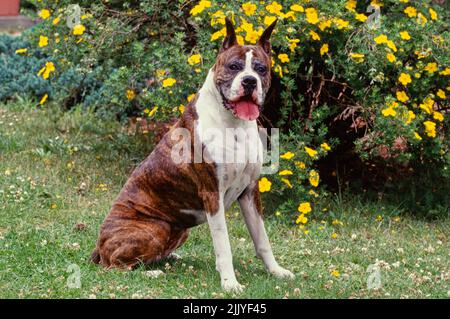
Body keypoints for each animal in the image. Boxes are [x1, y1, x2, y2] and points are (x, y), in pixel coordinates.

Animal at [91, 17, 296, 292]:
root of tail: (99, 245)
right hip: (153, 229)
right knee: (114, 266)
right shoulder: (212, 195)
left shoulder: (250, 192)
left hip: (179, 230)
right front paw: (230, 283)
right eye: (234, 66)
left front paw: (276, 271)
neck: (234, 124)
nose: (249, 81)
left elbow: (262, 239)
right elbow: (224, 246)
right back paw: (152, 273)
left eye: (261, 69)